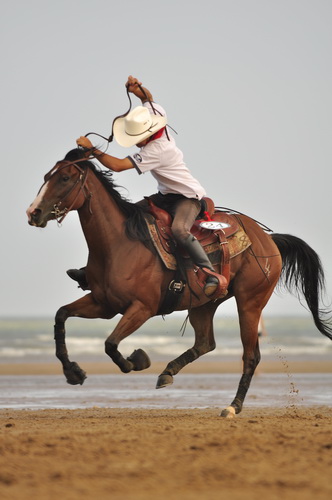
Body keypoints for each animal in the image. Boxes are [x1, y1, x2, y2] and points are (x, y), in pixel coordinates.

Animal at [26, 148, 332, 418]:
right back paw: (168, 372)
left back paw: (232, 406)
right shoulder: (103, 304)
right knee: (206, 343)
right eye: (47, 176)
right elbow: (62, 315)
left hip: (250, 303)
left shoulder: (142, 308)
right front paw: (73, 372)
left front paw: (138, 359)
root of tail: (268, 239)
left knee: (250, 356)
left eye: (65, 178)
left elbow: (111, 344)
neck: (119, 244)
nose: (33, 212)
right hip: (205, 304)